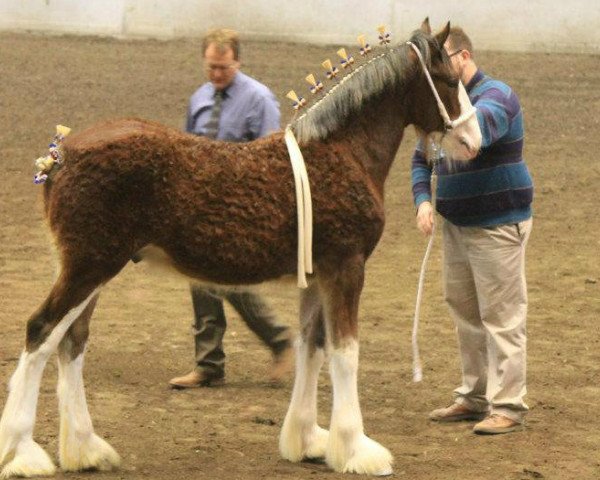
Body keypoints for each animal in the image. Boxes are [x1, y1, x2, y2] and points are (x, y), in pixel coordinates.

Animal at [0, 17, 480, 476]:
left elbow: (311, 345)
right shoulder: (347, 267)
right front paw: (357, 450)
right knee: (41, 332)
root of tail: (60, 157)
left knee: (72, 341)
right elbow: (345, 353)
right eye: (448, 79)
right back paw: (22, 454)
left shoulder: (318, 274)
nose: (473, 141)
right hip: (89, 267)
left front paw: (307, 441)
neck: (342, 153)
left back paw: (85, 450)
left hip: (92, 271)